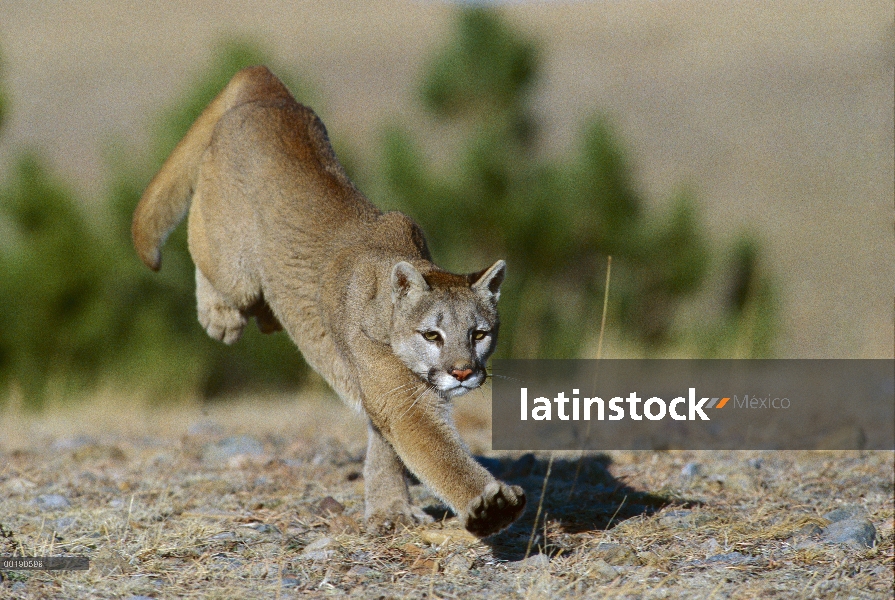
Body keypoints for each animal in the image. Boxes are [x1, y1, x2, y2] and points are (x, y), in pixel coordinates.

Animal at [131, 67, 524, 540]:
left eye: (479, 333)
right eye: (432, 335)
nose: (463, 371)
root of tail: (268, 88)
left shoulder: (387, 393)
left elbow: (385, 449)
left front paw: (390, 510)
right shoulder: (402, 399)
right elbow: (436, 453)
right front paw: (488, 507)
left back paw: (268, 318)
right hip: (231, 262)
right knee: (204, 251)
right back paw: (220, 317)